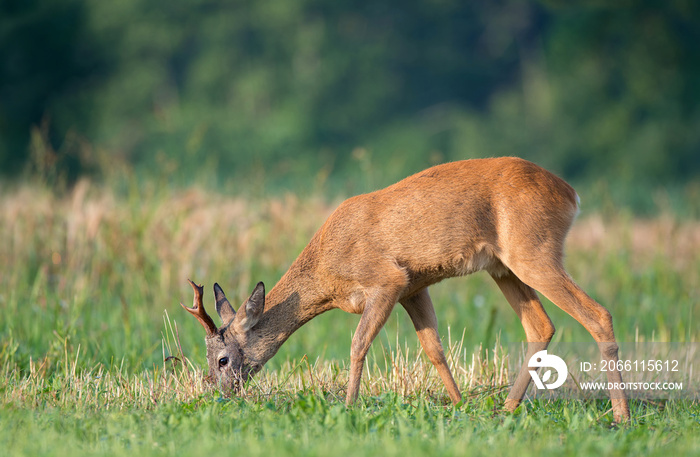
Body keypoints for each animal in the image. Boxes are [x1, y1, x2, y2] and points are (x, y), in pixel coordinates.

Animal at [180, 157, 628, 420]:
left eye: (221, 359)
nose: (220, 395)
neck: (327, 273)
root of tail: (572, 194)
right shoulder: (415, 285)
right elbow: (434, 348)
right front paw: (459, 405)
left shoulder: (386, 280)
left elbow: (358, 343)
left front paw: (348, 406)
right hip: (504, 268)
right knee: (541, 326)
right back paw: (505, 408)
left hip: (533, 251)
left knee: (598, 314)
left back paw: (621, 416)